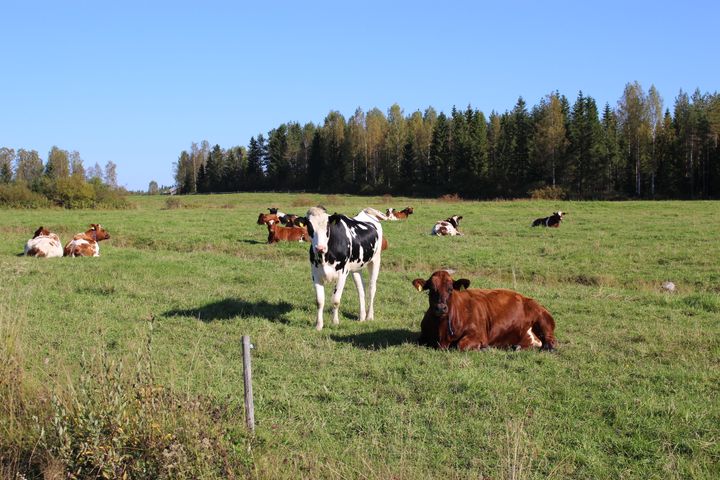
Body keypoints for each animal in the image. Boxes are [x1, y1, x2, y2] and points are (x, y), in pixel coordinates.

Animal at [308, 204, 388, 332]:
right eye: (309, 226)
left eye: (327, 227)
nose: (319, 248)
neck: (325, 256)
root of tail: (365, 212)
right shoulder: (316, 274)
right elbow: (319, 301)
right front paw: (318, 325)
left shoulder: (342, 274)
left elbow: (335, 300)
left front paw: (335, 322)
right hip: (356, 268)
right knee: (361, 289)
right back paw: (362, 317)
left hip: (375, 260)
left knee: (372, 288)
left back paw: (369, 316)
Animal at [410, 270, 556, 352]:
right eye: (431, 289)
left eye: (450, 289)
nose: (441, 308)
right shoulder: (422, 336)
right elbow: (417, 341)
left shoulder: (478, 334)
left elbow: (460, 345)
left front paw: (483, 348)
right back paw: (516, 347)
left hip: (544, 321)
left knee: (550, 344)